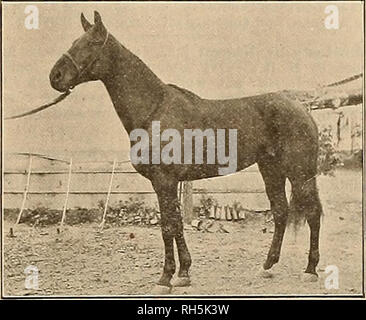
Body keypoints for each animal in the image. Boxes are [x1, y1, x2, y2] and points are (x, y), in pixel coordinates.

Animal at [50, 11, 322, 294]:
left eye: (90, 44)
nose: (55, 76)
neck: (154, 110)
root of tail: (302, 107)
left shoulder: (164, 181)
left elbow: (168, 227)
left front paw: (165, 278)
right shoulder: (169, 183)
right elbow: (177, 223)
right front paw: (183, 273)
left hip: (300, 174)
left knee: (313, 212)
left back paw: (310, 270)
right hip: (271, 170)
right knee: (280, 212)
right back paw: (267, 266)